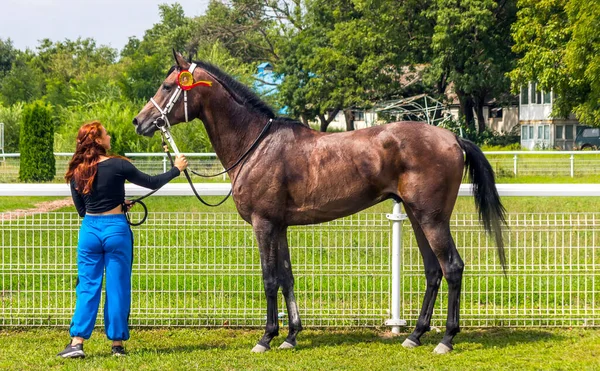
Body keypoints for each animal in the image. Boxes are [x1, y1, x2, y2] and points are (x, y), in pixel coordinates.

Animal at [134, 51, 504, 354]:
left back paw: (446, 339)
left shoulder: (263, 224)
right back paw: (415, 334)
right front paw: (290, 336)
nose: (140, 121)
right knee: (433, 270)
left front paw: (266, 338)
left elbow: (269, 279)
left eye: (167, 86)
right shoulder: (279, 226)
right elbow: (286, 277)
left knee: (452, 267)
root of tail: (452, 137)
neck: (256, 144)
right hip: (416, 216)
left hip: (431, 218)